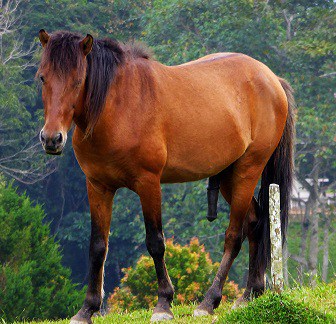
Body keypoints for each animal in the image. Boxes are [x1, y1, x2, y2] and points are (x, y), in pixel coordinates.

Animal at [37, 29, 294, 322]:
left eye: (78, 80)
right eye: (43, 77)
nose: (51, 139)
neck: (118, 106)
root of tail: (272, 80)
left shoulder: (148, 183)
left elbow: (155, 242)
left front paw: (163, 304)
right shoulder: (98, 186)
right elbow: (98, 246)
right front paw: (87, 308)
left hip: (247, 172)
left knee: (234, 235)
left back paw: (209, 301)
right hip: (230, 177)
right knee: (255, 223)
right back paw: (250, 294)